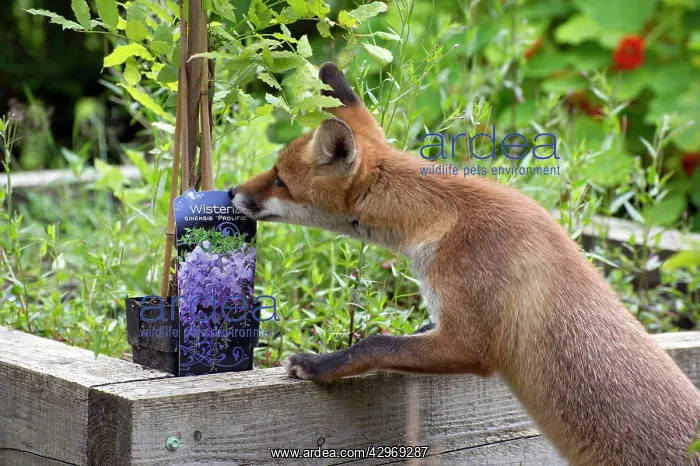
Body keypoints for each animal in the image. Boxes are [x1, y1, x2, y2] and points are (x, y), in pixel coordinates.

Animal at [229, 62, 700, 465]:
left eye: (279, 179)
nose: (231, 191)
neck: (442, 219)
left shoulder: (470, 343)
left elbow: (376, 344)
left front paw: (318, 365)